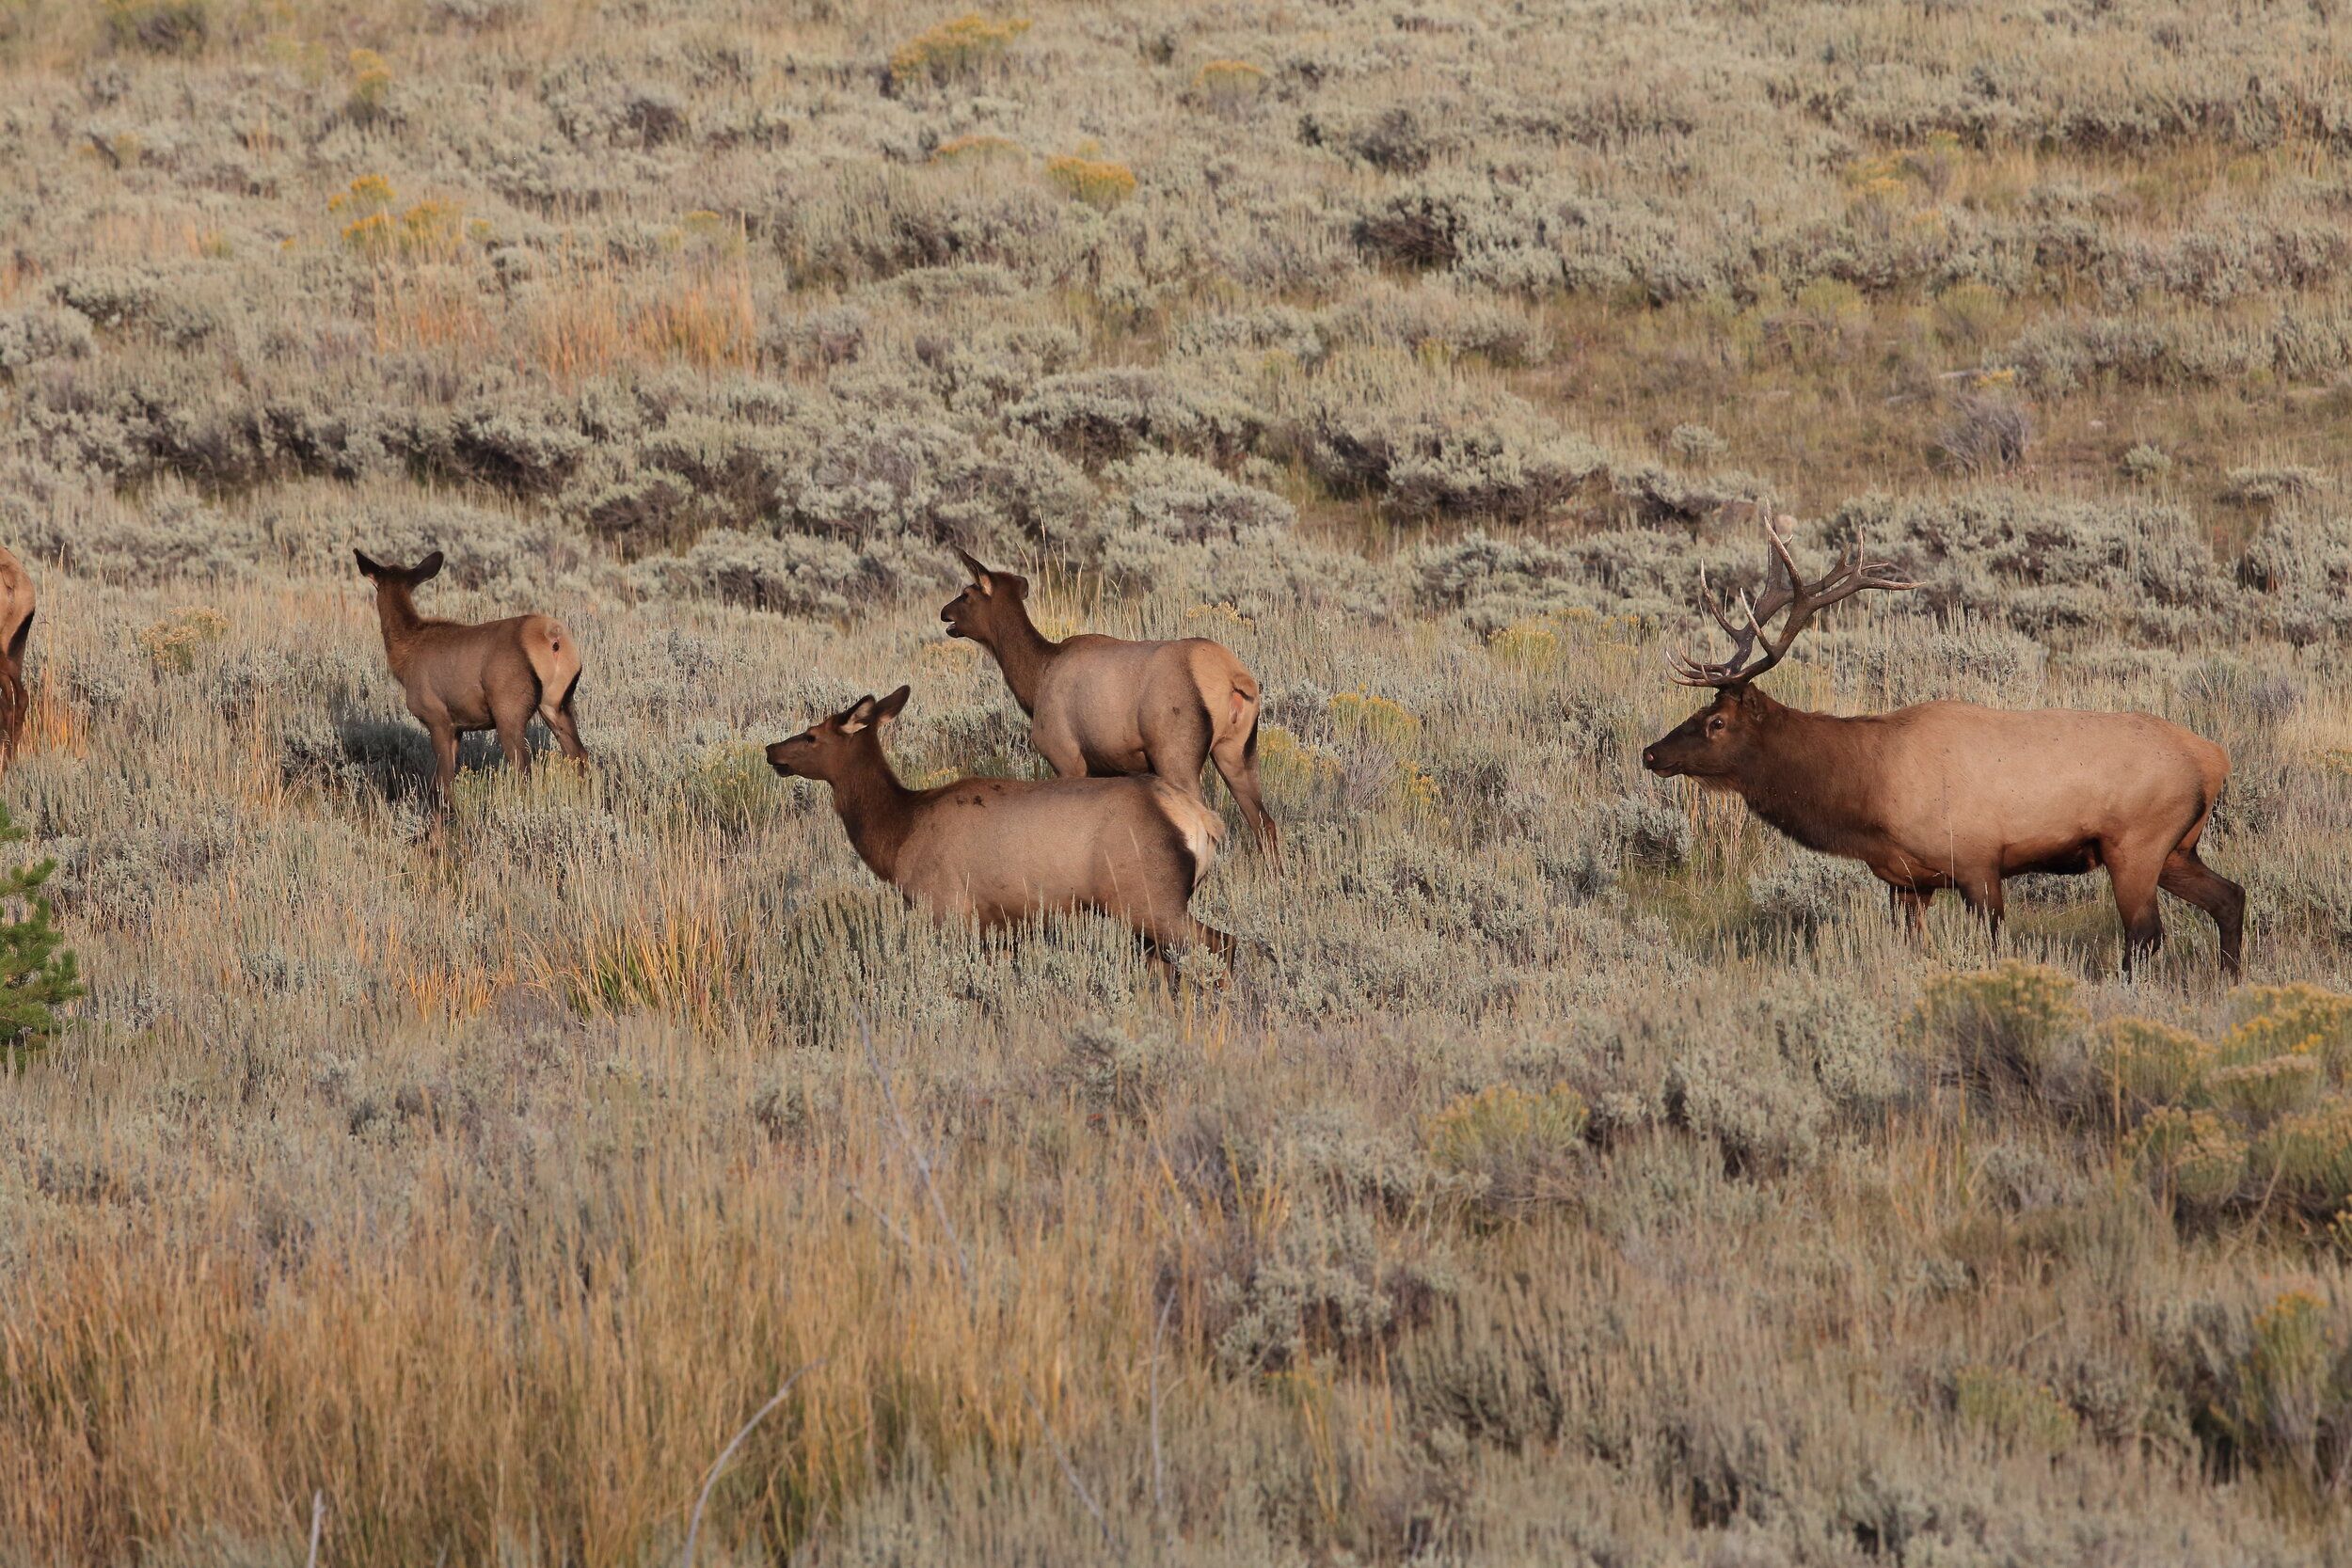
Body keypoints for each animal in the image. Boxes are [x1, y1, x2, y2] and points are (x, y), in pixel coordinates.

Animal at [350, 545, 585, 808]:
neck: (404, 656)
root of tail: (555, 639)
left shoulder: (437, 717)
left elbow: (443, 782)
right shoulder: (458, 726)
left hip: (509, 708)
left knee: (523, 765)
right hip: (557, 703)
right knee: (579, 754)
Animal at [776, 686, 1251, 968]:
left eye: (812, 735)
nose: (770, 750)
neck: (898, 835)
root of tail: (1201, 822)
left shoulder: (947, 906)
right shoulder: (998, 923)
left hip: (1151, 898)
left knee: (1226, 944)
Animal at [936, 549, 1279, 860]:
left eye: (966, 594)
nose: (944, 612)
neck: (1035, 680)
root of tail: (1235, 678)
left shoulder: (1065, 755)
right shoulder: (1108, 766)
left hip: (1176, 754)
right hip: (1237, 750)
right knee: (1264, 822)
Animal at [1637, 521, 2239, 973]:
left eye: (1716, 722)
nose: (1651, 753)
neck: (1868, 796)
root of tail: (2215, 759)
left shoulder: (1977, 862)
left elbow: (1993, 947)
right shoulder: (1906, 881)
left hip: (2135, 842)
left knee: (2145, 935)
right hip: (2177, 848)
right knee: (2230, 899)